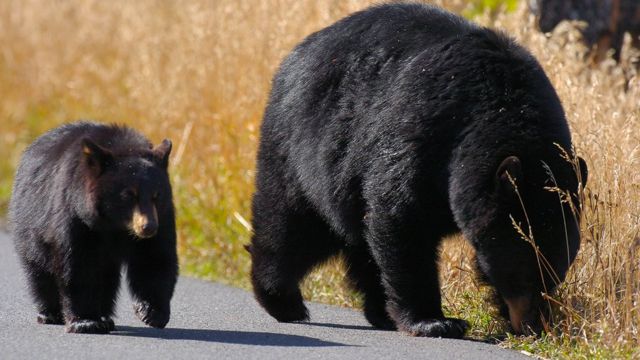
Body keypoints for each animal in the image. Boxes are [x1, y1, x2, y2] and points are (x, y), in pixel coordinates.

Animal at [10, 121, 179, 334]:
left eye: (157, 195)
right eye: (128, 194)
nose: (148, 227)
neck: (115, 226)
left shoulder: (163, 217)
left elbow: (154, 258)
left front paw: (152, 312)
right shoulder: (76, 215)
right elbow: (78, 263)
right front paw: (85, 321)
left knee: (107, 276)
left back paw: (105, 317)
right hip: (31, 226)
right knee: (39, 270)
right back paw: (50, 313)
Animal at [248, 3, 588, 340]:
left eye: (556, 273)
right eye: (522, 272)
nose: (533, 325)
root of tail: (296, 54)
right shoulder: (423, 135)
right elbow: (403, 218)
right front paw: (435, 321)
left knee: (361, 242)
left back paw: (380, 312)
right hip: (301, 149)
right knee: (292, 223)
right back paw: (282, 299)